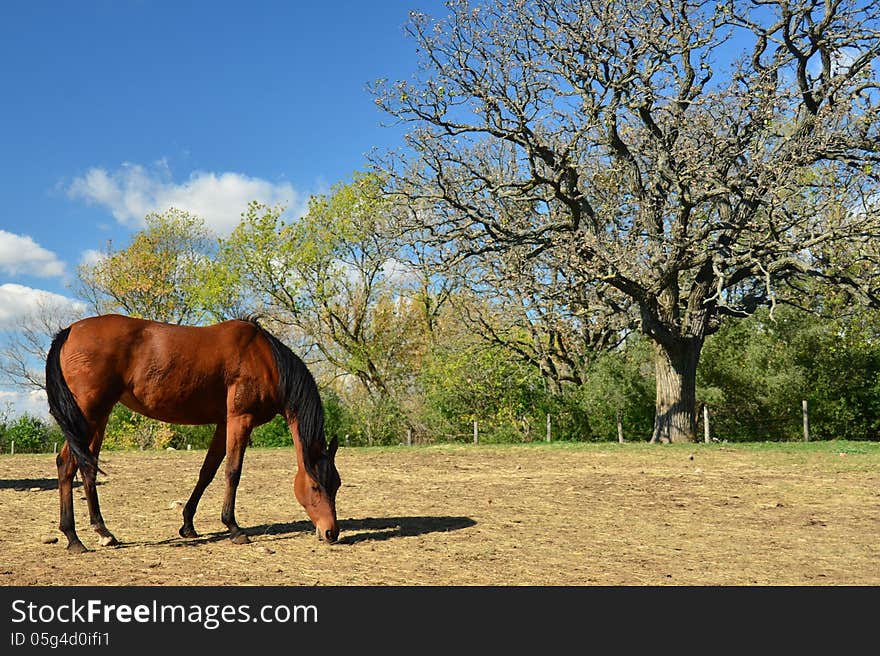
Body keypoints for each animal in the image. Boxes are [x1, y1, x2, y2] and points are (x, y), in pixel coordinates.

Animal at [43, 312, 340, 552]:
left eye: (336, 484)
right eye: (315, 486)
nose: (331, 532)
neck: (266, 358)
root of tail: (70, 330)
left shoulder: (224, 424)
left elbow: (207, 472)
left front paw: (188, 524)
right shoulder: (240, 420)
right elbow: (232, 472)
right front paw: (234, 528)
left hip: (97, 418)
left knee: (86, 467)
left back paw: (103, 532)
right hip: (87, 415)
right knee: (66, 464)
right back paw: (73, 537)